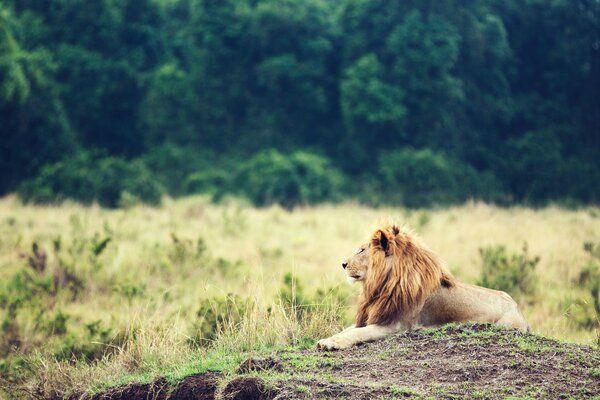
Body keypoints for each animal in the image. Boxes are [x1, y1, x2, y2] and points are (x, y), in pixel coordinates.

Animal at [316, 223, 528, 352]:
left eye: (361, 250)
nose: (343, 264)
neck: (383, 284)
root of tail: (519, 310)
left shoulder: (396, 325)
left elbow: (358, 332)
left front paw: (332, 344)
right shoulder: (378, 315)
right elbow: (346, 330)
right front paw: (327, 340)